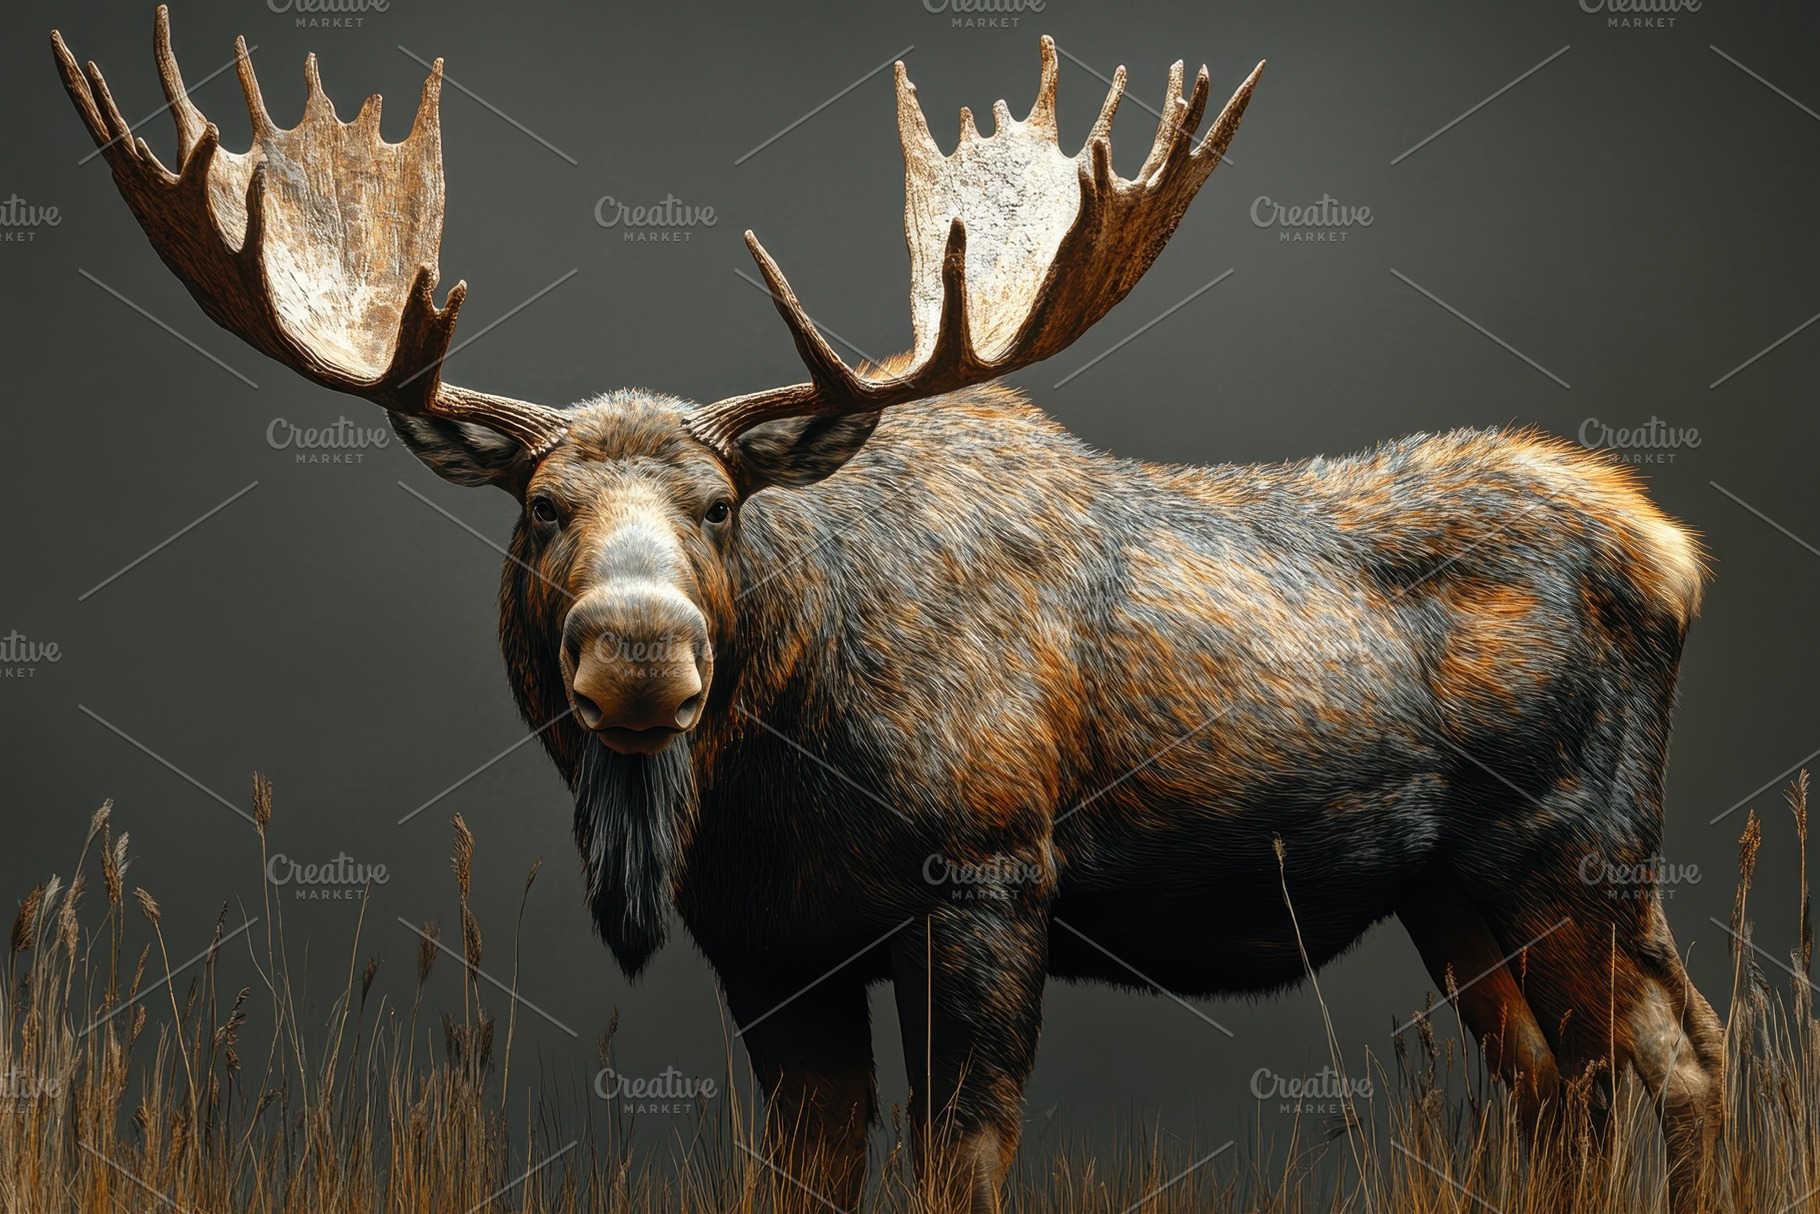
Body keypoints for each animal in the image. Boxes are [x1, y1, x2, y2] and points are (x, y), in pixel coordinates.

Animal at [55, 9, 1726, 1211]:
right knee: (1581, 1088)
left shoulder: (990, 874)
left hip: (1571, 845)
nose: (640, 651)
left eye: (722, 506)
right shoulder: (766, 944)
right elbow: (805, 1170)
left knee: (1667, 1062)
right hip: (1453, 888)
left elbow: (962, 1158)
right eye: (540, 507)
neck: (767, 779)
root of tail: (1678, 553)